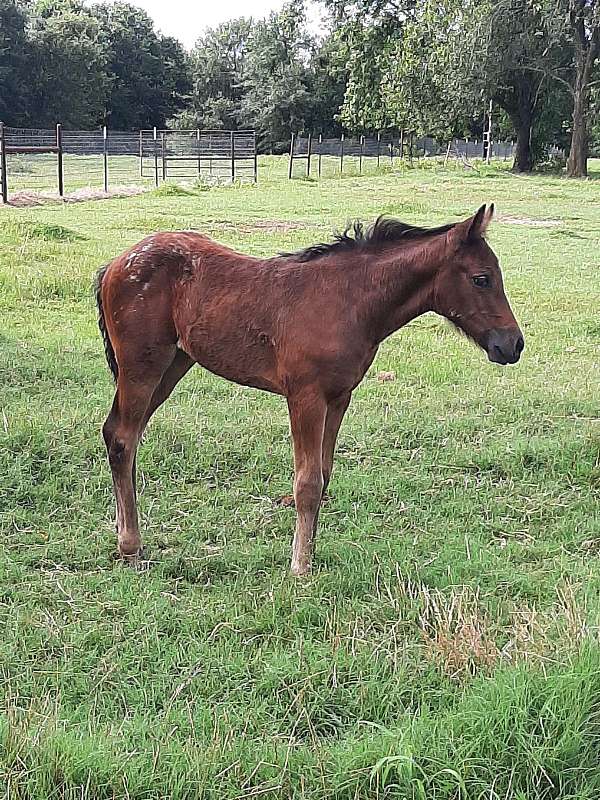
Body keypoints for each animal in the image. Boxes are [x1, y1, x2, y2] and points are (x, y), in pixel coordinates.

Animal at [96, 200, 524, 576]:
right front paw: (300, 567)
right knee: (122, 438)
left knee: (123, 435)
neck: (347, 301)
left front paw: (311, 554)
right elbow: (307, 483)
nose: (513, 344)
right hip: (142, 366)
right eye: (482, 278)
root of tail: (115, 264)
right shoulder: (306, 397)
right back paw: (130, 547)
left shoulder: (340, 397)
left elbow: (325, 474)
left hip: (173, 365)